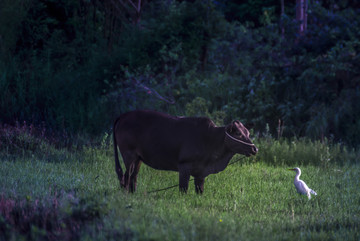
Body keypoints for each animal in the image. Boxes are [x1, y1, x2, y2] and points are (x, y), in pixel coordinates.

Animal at [114, 110, 258, 193]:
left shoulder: (201, 173)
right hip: (129, 155)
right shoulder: (184, 166)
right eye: (238, 133)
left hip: (138, 159)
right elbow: (183, 189)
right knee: (126, 177)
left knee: (133, 177)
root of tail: (123, 115)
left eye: (248, 132)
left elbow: (200, 191)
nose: (254, 148)